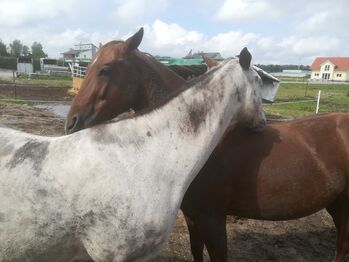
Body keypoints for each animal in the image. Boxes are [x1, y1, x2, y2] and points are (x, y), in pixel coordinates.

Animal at [65, 27, 348, 260]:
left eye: (105, 69)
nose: (71, 123)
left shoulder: (213, 219)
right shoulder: (193, 216)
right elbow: (195, 251)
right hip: (335, 204)